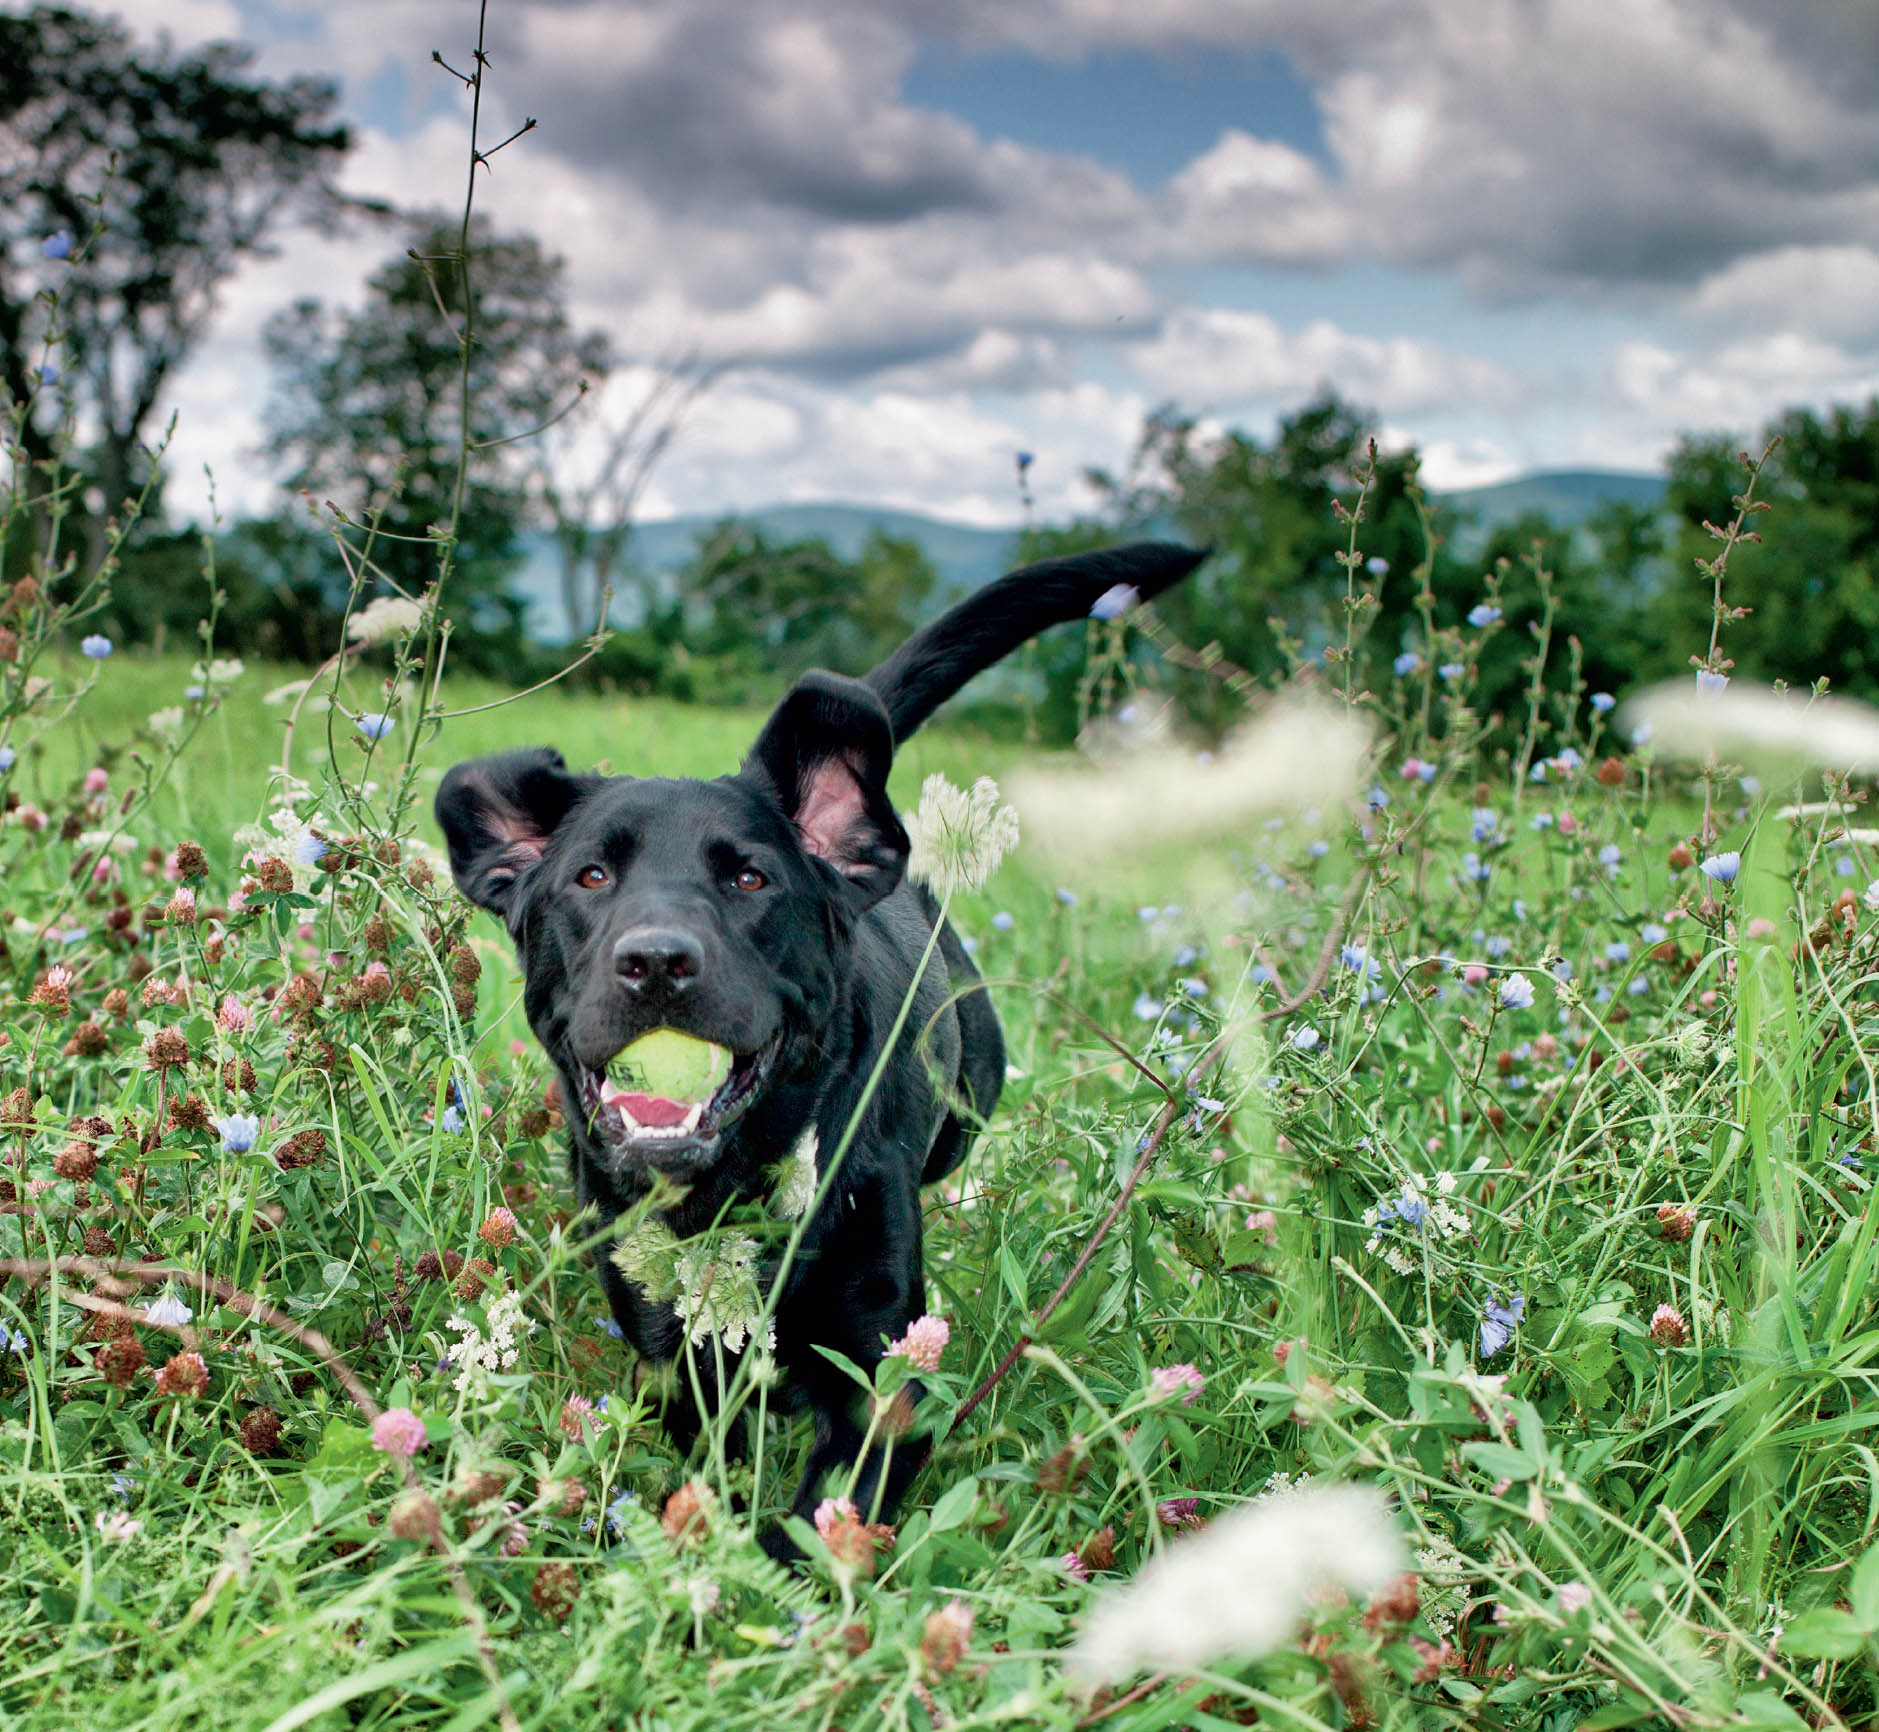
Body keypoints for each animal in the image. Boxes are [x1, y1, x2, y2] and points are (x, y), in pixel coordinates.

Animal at [435, 541, 1202, 1540]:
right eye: (591, 876)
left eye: (750, 879)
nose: (656, 963)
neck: (725, 1199)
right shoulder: (672, 1358)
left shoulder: (880, 1379)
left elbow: (817, 1520)